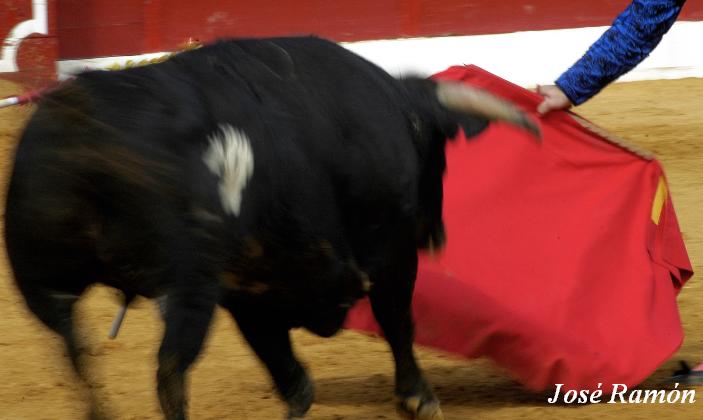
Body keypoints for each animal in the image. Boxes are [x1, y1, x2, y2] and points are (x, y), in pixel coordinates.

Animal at [4, 37, 540, 420]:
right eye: (440, 157)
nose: (437, 236)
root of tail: (87, 131)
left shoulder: (252, 293)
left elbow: (296, 382)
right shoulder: (389, 253)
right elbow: (397, 322)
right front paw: (418, 398)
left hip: (45, 285)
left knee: (78, 359)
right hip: (187, 284)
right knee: (170, 372)